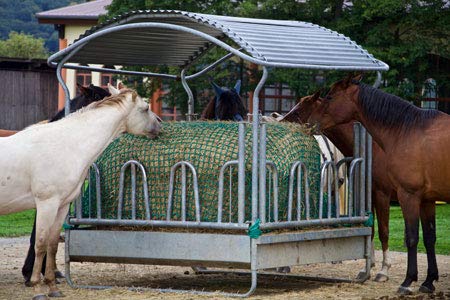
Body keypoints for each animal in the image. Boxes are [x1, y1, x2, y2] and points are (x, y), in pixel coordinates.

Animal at [282, 92, 394, 282]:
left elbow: (384, 231)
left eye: (298, 112)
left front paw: (383, 270)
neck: (375, 150)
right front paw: (367, 268)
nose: (281, 124)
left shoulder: (382, 195)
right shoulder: (369, 193)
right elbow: (370, 229)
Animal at [308, 75, 448, 296]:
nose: (312, 123)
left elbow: (409, 237)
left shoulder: (406, 196)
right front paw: (428, 281)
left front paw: (406, 280)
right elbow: (429, 238)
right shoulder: (426, 199)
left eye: (329, 97)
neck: (406, 130)